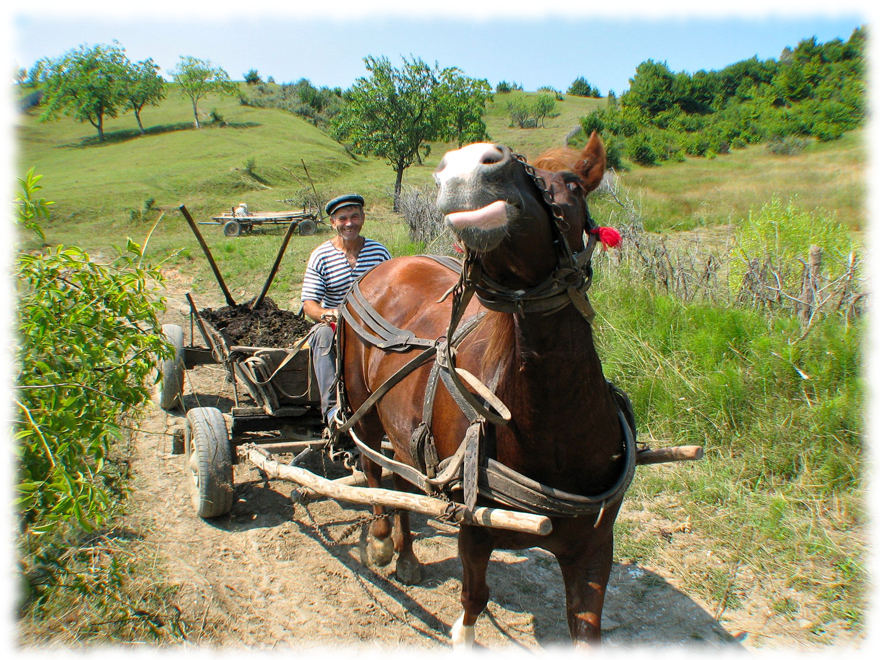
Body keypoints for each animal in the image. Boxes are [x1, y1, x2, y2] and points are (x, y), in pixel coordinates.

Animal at [338, 131, 632, 648]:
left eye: (574, 185)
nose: (469, 163)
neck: (553, 436)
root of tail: (383, 270)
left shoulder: (594, 547)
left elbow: (587, 627)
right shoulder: (473, 528)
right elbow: (474, 597)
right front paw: (463, 630)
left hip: (405, 437)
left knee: (403, 483)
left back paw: (407, 556)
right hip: (365, 412)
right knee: (375, 474)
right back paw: (380, 540)